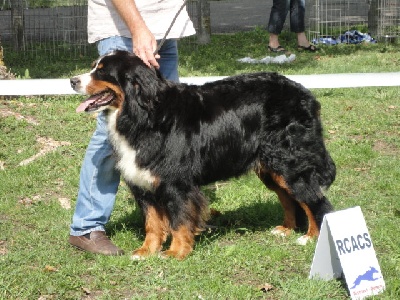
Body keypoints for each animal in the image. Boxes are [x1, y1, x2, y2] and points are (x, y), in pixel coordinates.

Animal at [70, 50, 336, 258]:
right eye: (94, 66)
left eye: (102, 72)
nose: (72, 80)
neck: (141, 114)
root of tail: (304, 93)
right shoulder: (144, 183)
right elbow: (153, 223)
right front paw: (146, 251)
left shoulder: (175, 182)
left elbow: (179, 220)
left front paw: (176, 252)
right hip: (272, 168)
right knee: (289, 198)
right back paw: (286, 229)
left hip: (292, 163)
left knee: (315, 200)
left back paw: (311, 237)